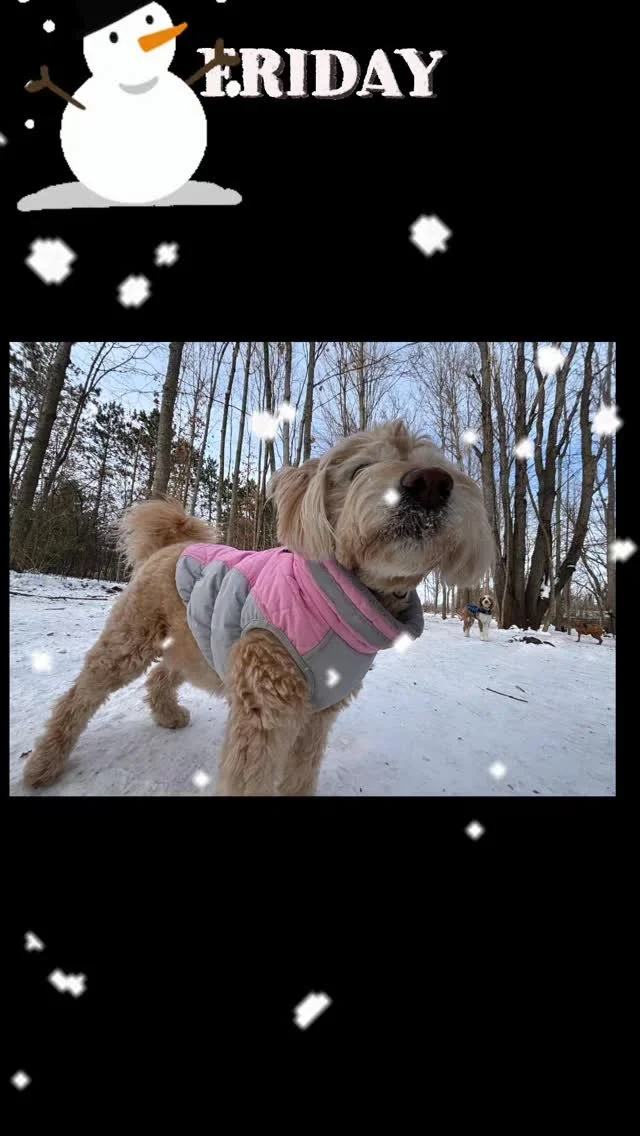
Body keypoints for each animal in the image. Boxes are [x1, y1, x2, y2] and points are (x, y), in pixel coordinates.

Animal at [22, 419, 494, 796]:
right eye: (359, 470)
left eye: (439, 466)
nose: (431, 483)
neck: (334, 602)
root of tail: (173, 543)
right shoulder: (266, 710)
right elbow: (251, 778)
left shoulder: (316, 717)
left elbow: (300, 777)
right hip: (129, 639)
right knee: (78, 698)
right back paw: (43, 764)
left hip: (194, 642)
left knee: (162, 674)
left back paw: (168, 714)